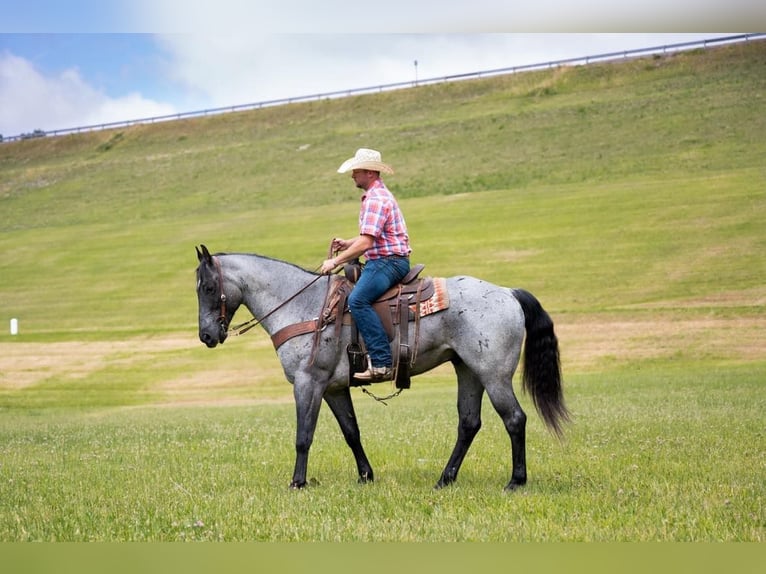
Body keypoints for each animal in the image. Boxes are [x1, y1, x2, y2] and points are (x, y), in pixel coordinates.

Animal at [196, 245, 568, 492]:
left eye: (209, 287)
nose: (207, 336)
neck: (304, 306)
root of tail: (508, 292)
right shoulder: (334, 388)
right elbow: (351, 432)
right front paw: (365, 476)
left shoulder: (307, 382)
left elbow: (303, 436)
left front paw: (297, 483)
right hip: (468, 370)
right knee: (469, 423)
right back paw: (444, 479)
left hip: (494, 375)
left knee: (514, 419)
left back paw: (515, 481)